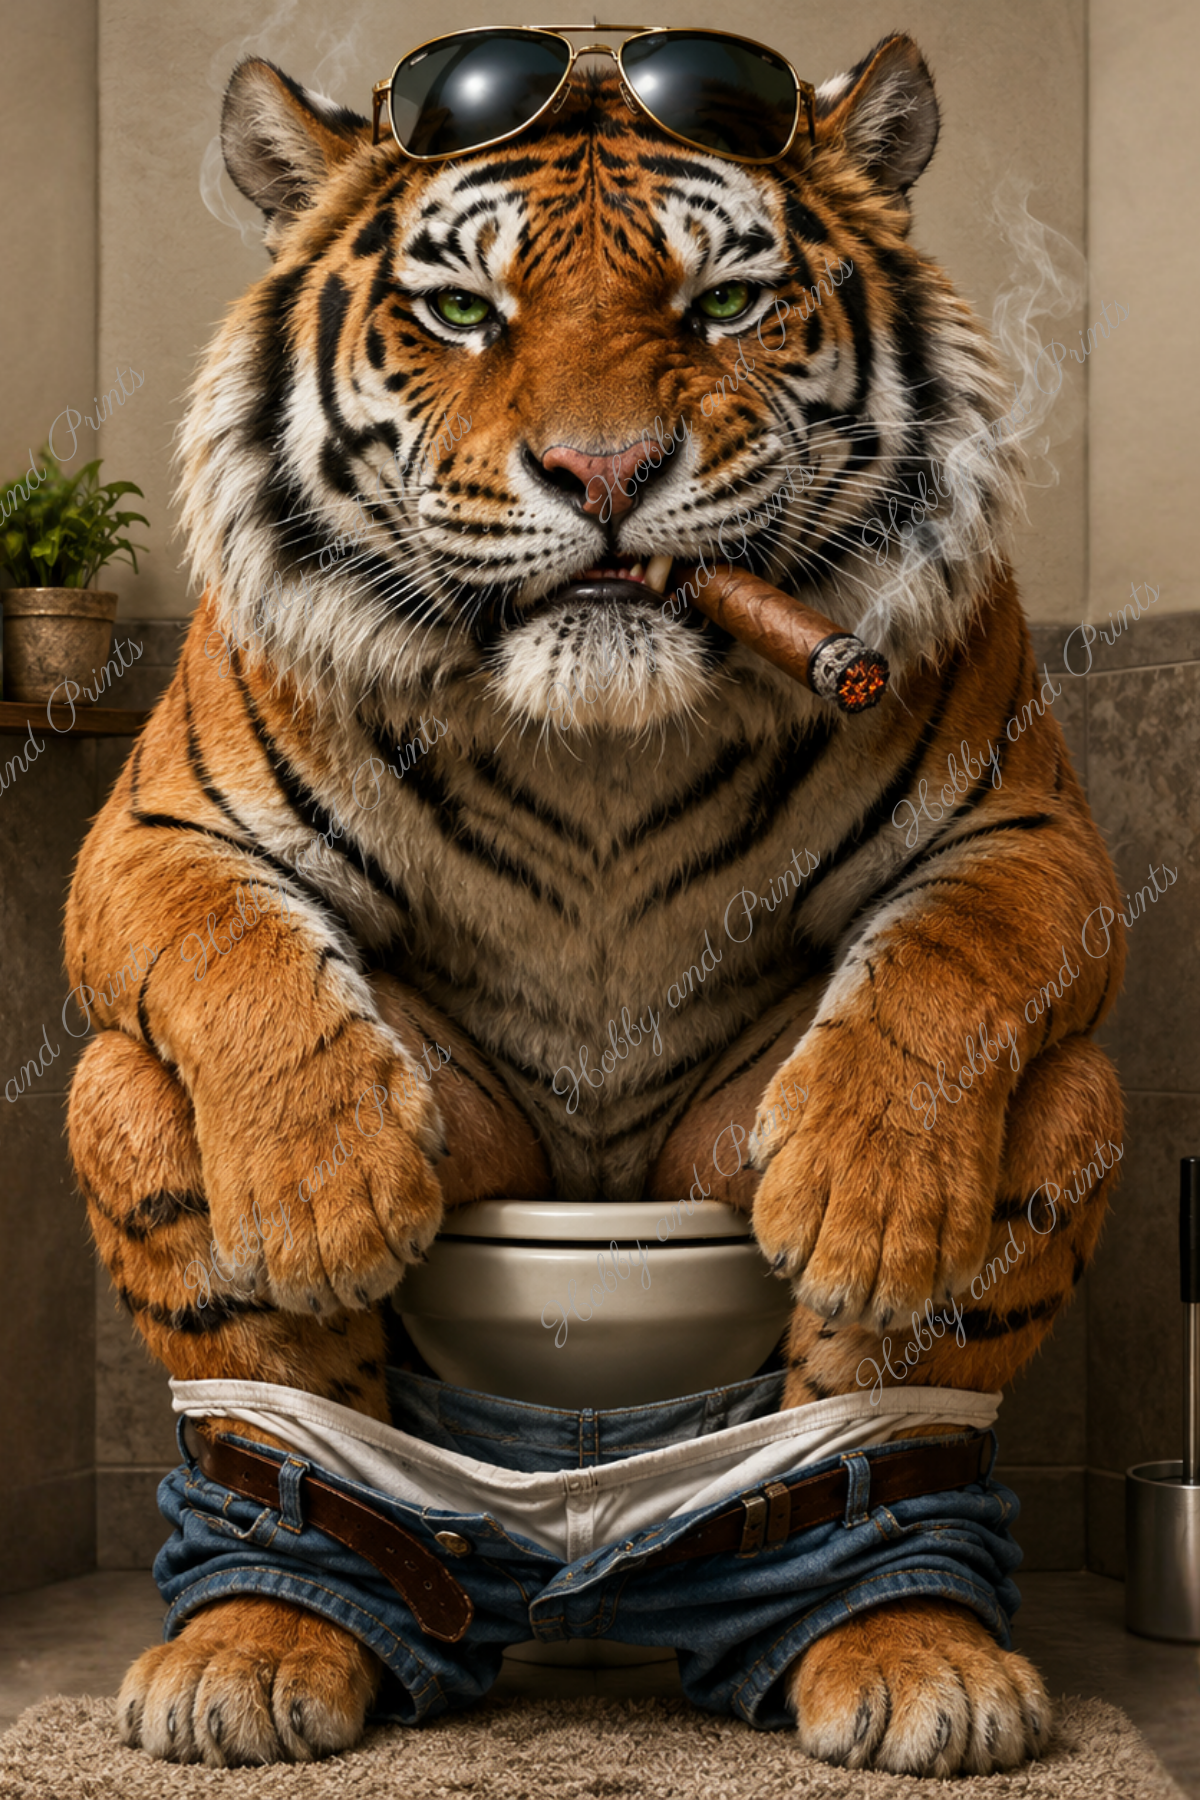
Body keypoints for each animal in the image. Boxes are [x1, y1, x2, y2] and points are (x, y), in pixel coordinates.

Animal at [65, 31, 1125, 1775]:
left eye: (726, 303)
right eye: (460, 313)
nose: (607, 472)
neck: (601, 751)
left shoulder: (1030, 829)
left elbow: (953, 956)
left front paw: (877, 1200)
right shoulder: (157, 827)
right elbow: (236, 954)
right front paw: (317, 1188)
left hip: (1018, 1136)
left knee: (889, 1405)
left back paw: (910, 1649)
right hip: (160, 1126)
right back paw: (253, 1650)